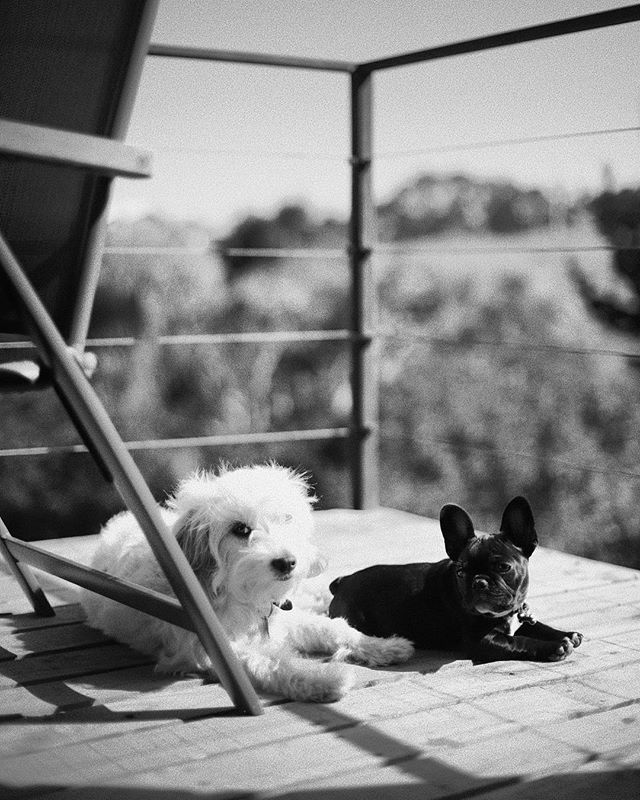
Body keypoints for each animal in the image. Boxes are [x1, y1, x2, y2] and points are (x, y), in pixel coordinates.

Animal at [81, 462, 416, 700]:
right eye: (240, 529)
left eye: (286, 519)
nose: (287, 562)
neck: (244, 597)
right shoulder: (216, 648)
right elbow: (275, 662)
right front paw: (325, 679)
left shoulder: (287, 619)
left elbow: (333, 628)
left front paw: (384, 646)